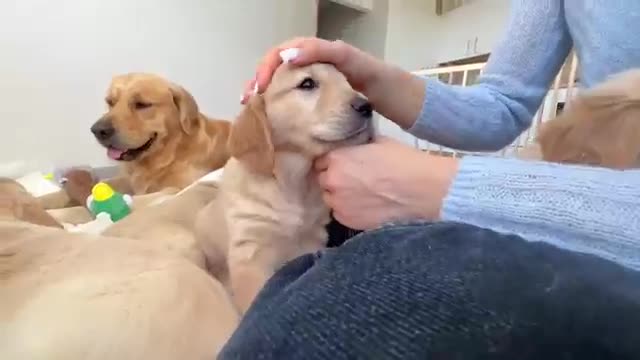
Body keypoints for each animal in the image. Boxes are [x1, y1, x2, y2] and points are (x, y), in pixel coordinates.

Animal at [196, 62, 376, 312]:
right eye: (307, 84)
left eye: (347, 82)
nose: (367, 106)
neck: (294, 180)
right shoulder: (250, 251)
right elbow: (253, 297)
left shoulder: (311, 239)